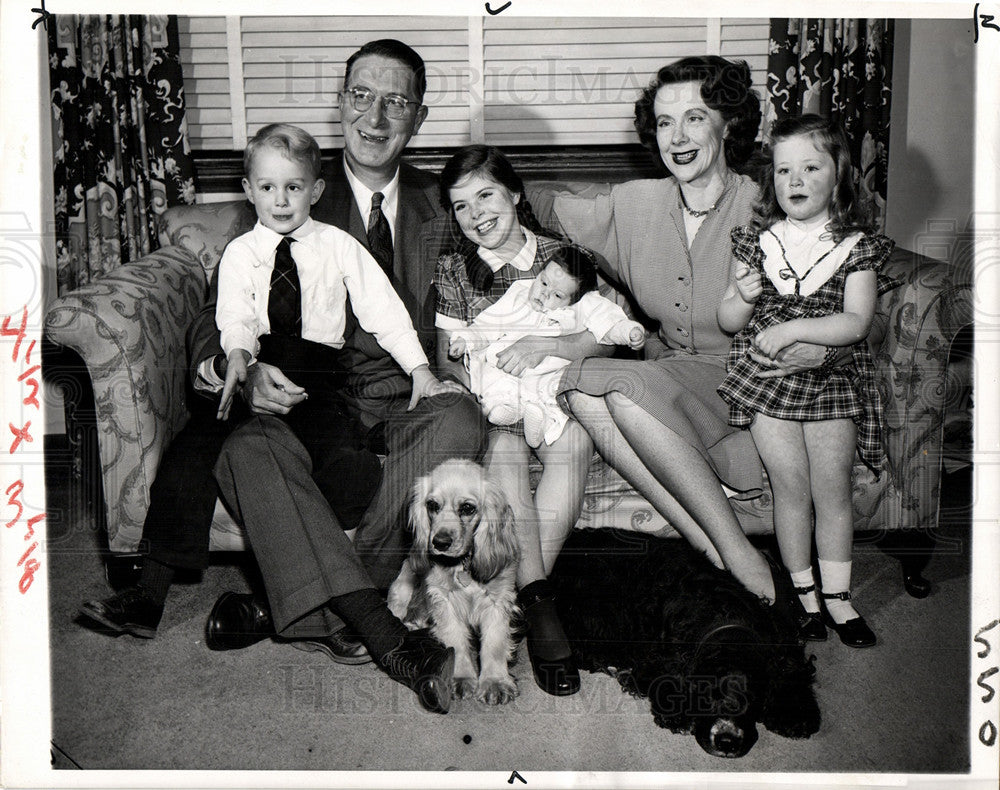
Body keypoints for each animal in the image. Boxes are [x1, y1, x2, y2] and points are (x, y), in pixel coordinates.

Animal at [386, 460, 520, 708]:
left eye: (467, 508)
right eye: (432, 505)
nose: (439, 542)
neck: (461, 566)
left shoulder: (497, 601)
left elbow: (495, 644)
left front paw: (495, 682)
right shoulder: (443, 600)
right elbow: (456, 641)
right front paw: (461, 678)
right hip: (402, 589)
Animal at [548, 528, 820, 756]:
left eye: (752, 699)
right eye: (707, 694)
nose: (727, 742)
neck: (727, 619)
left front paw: (796, 713)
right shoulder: (663, 654)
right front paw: (677, 713)